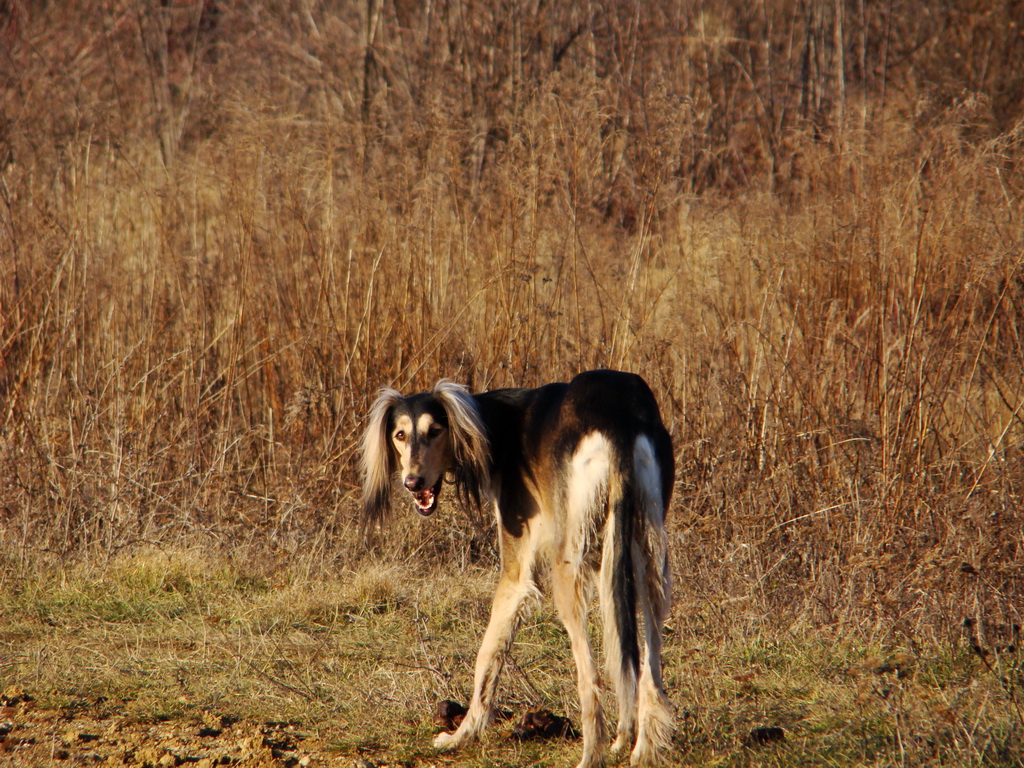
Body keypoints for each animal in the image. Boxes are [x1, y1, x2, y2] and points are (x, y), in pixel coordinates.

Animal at [360, 370, 671, 765]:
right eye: (399, 435)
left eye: (435, 430)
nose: (412, 483)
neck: (491, 428)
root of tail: (617, 414)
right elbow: (621, 644)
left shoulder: (516, 569)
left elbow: (487, 655)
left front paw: (462, 734)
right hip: (646, 546)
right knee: (648, 665)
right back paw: (639, 748)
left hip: (567, 563)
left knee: (590, 678)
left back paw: (591, 754)